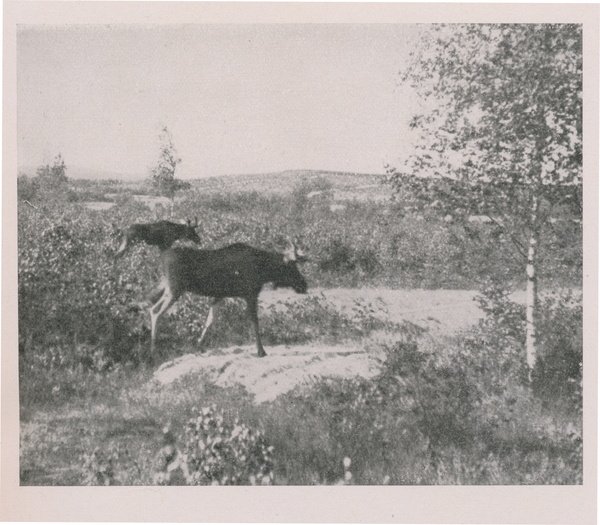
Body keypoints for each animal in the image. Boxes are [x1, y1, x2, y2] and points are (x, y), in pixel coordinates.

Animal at [150, 242, 310, 356]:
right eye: (291, 267)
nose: (304, 284)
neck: (263, 270)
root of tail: (160, 260)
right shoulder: (250, 294)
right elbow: (254, 321)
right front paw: (260, 351)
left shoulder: (220, 295)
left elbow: (210, 320)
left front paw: (199, 345)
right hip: (175, 290)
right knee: (156, 312)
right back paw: (153, 349)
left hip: (167, 288)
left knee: (152, 308)